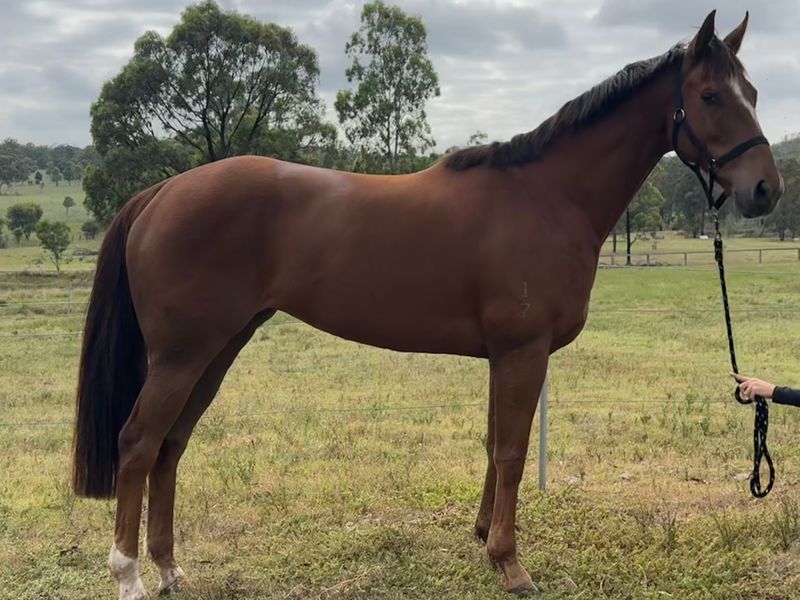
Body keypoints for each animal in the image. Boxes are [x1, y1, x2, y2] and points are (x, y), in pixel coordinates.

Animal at [72, 10, 783, 599]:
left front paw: (484, 540)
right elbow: (512, 452)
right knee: (138, 443)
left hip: (218, 348)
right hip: (183, 354)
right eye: (711, 95)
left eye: (753, 94)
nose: (766, 190)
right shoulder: (522, 353)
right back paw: (130, 576)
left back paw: (170, 570)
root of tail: (162, 193)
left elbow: (494, 444)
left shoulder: (504, 356)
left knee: (171, 445)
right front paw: (511, 565)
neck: (547, 196)